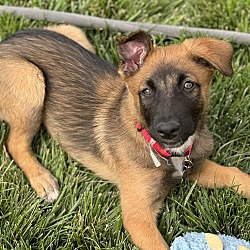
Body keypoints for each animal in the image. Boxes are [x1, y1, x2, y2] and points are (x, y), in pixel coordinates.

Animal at [0, 25, 250, 250]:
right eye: (146, 91)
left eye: (188, 85)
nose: (168, 130)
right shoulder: (137, 217)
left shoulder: (195, 167)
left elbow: (234, 174)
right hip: (31, 79)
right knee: (14, 143)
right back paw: (42, 179)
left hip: (75, 33)